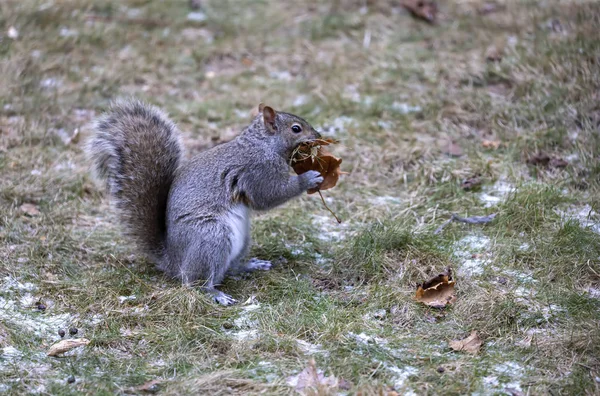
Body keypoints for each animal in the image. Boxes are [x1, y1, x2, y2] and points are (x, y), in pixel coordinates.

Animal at [88, 99, 324, 304]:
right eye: (296, 128)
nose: (319, 135)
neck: (263, 143)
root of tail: (174, 260)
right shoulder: (258, 170)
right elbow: (268, 196)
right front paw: (309, 178)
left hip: (241, 239)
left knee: (229, 268)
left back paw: (249, 265)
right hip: (210, 236)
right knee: (195, 282)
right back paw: (215, 294)